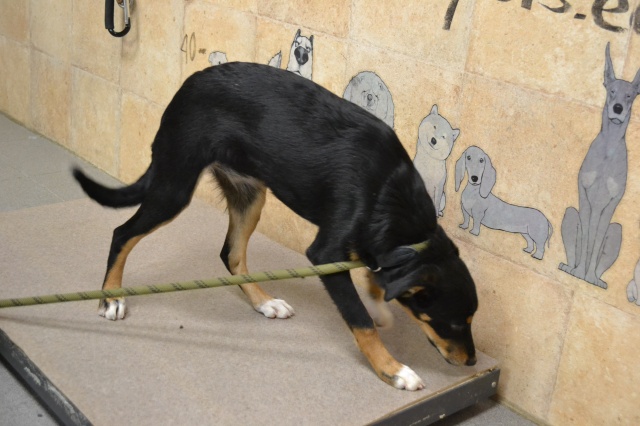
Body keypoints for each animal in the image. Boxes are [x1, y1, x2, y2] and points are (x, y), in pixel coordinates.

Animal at [73, 62, 478, 391]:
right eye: (456, 323)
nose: (472, 361)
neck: (388, 190)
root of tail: (187, 85)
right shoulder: (325, 254)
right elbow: (359, 321)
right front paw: (393, 369)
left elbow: (376, 283)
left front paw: (378, 304)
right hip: (174, 187)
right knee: (123, 234)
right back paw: (111, 297)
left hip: (250, 195)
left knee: (231, 254)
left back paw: (264, 303)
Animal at [559, 43, 639, 288]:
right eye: (611, 91)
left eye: (630, 95)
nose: (618, 108)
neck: (608, 150)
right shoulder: (584, 195)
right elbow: (586, 238)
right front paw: (578, 272)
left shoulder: (612, 204)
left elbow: (594, 246)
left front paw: (590, 277)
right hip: (569, 213)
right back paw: (572, 268)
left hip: (617, 230)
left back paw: (595, 279)